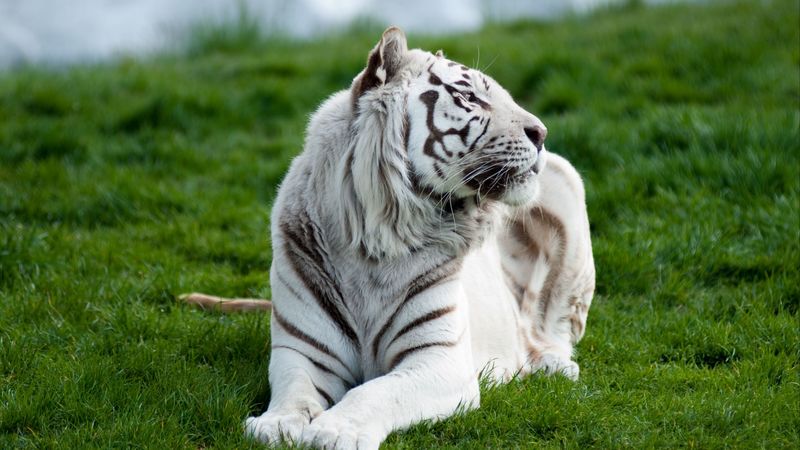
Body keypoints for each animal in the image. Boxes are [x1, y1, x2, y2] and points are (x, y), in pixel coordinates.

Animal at [182, 26, 594, 449]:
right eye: (468, 97)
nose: (541, 133)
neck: (375, 242)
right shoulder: (303, 351)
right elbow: (295, 390)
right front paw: (276, 424)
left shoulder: (440, 359)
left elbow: (375, 391)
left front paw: (334, 430)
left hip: (564, 180)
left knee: (556, 328)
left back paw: (552, 364)